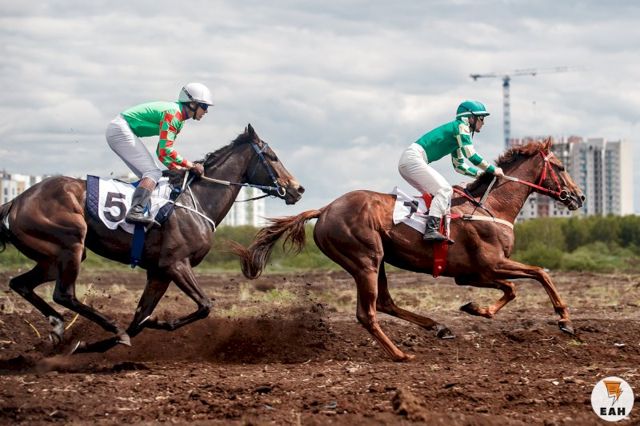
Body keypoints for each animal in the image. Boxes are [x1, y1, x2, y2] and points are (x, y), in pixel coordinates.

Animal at [0, 124, 304, 352]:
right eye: (273, 156)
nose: (298, 189)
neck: (196, 201)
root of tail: (15, 201)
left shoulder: (159, 272)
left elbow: (140, 318)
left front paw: (92, 346)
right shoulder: (175, 264)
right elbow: (204, 305)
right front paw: (155, 325)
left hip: (51, 258)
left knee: (20, 284)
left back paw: (58, 326)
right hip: (71, 247)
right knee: (64, 294)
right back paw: (105, 327)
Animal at [232, 140, 585, 361]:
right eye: (561, 166)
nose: (579, 197)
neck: (490, 207)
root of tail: (325, 209)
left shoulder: (472, 274)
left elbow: (514, 287)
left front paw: (474, 308)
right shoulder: (491, 265)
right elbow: (537, 275)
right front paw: (565, 320)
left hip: (378, 261)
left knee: (385, 303)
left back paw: (438, 327)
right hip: (365, 260)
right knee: (367, 312)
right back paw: (400, 354)